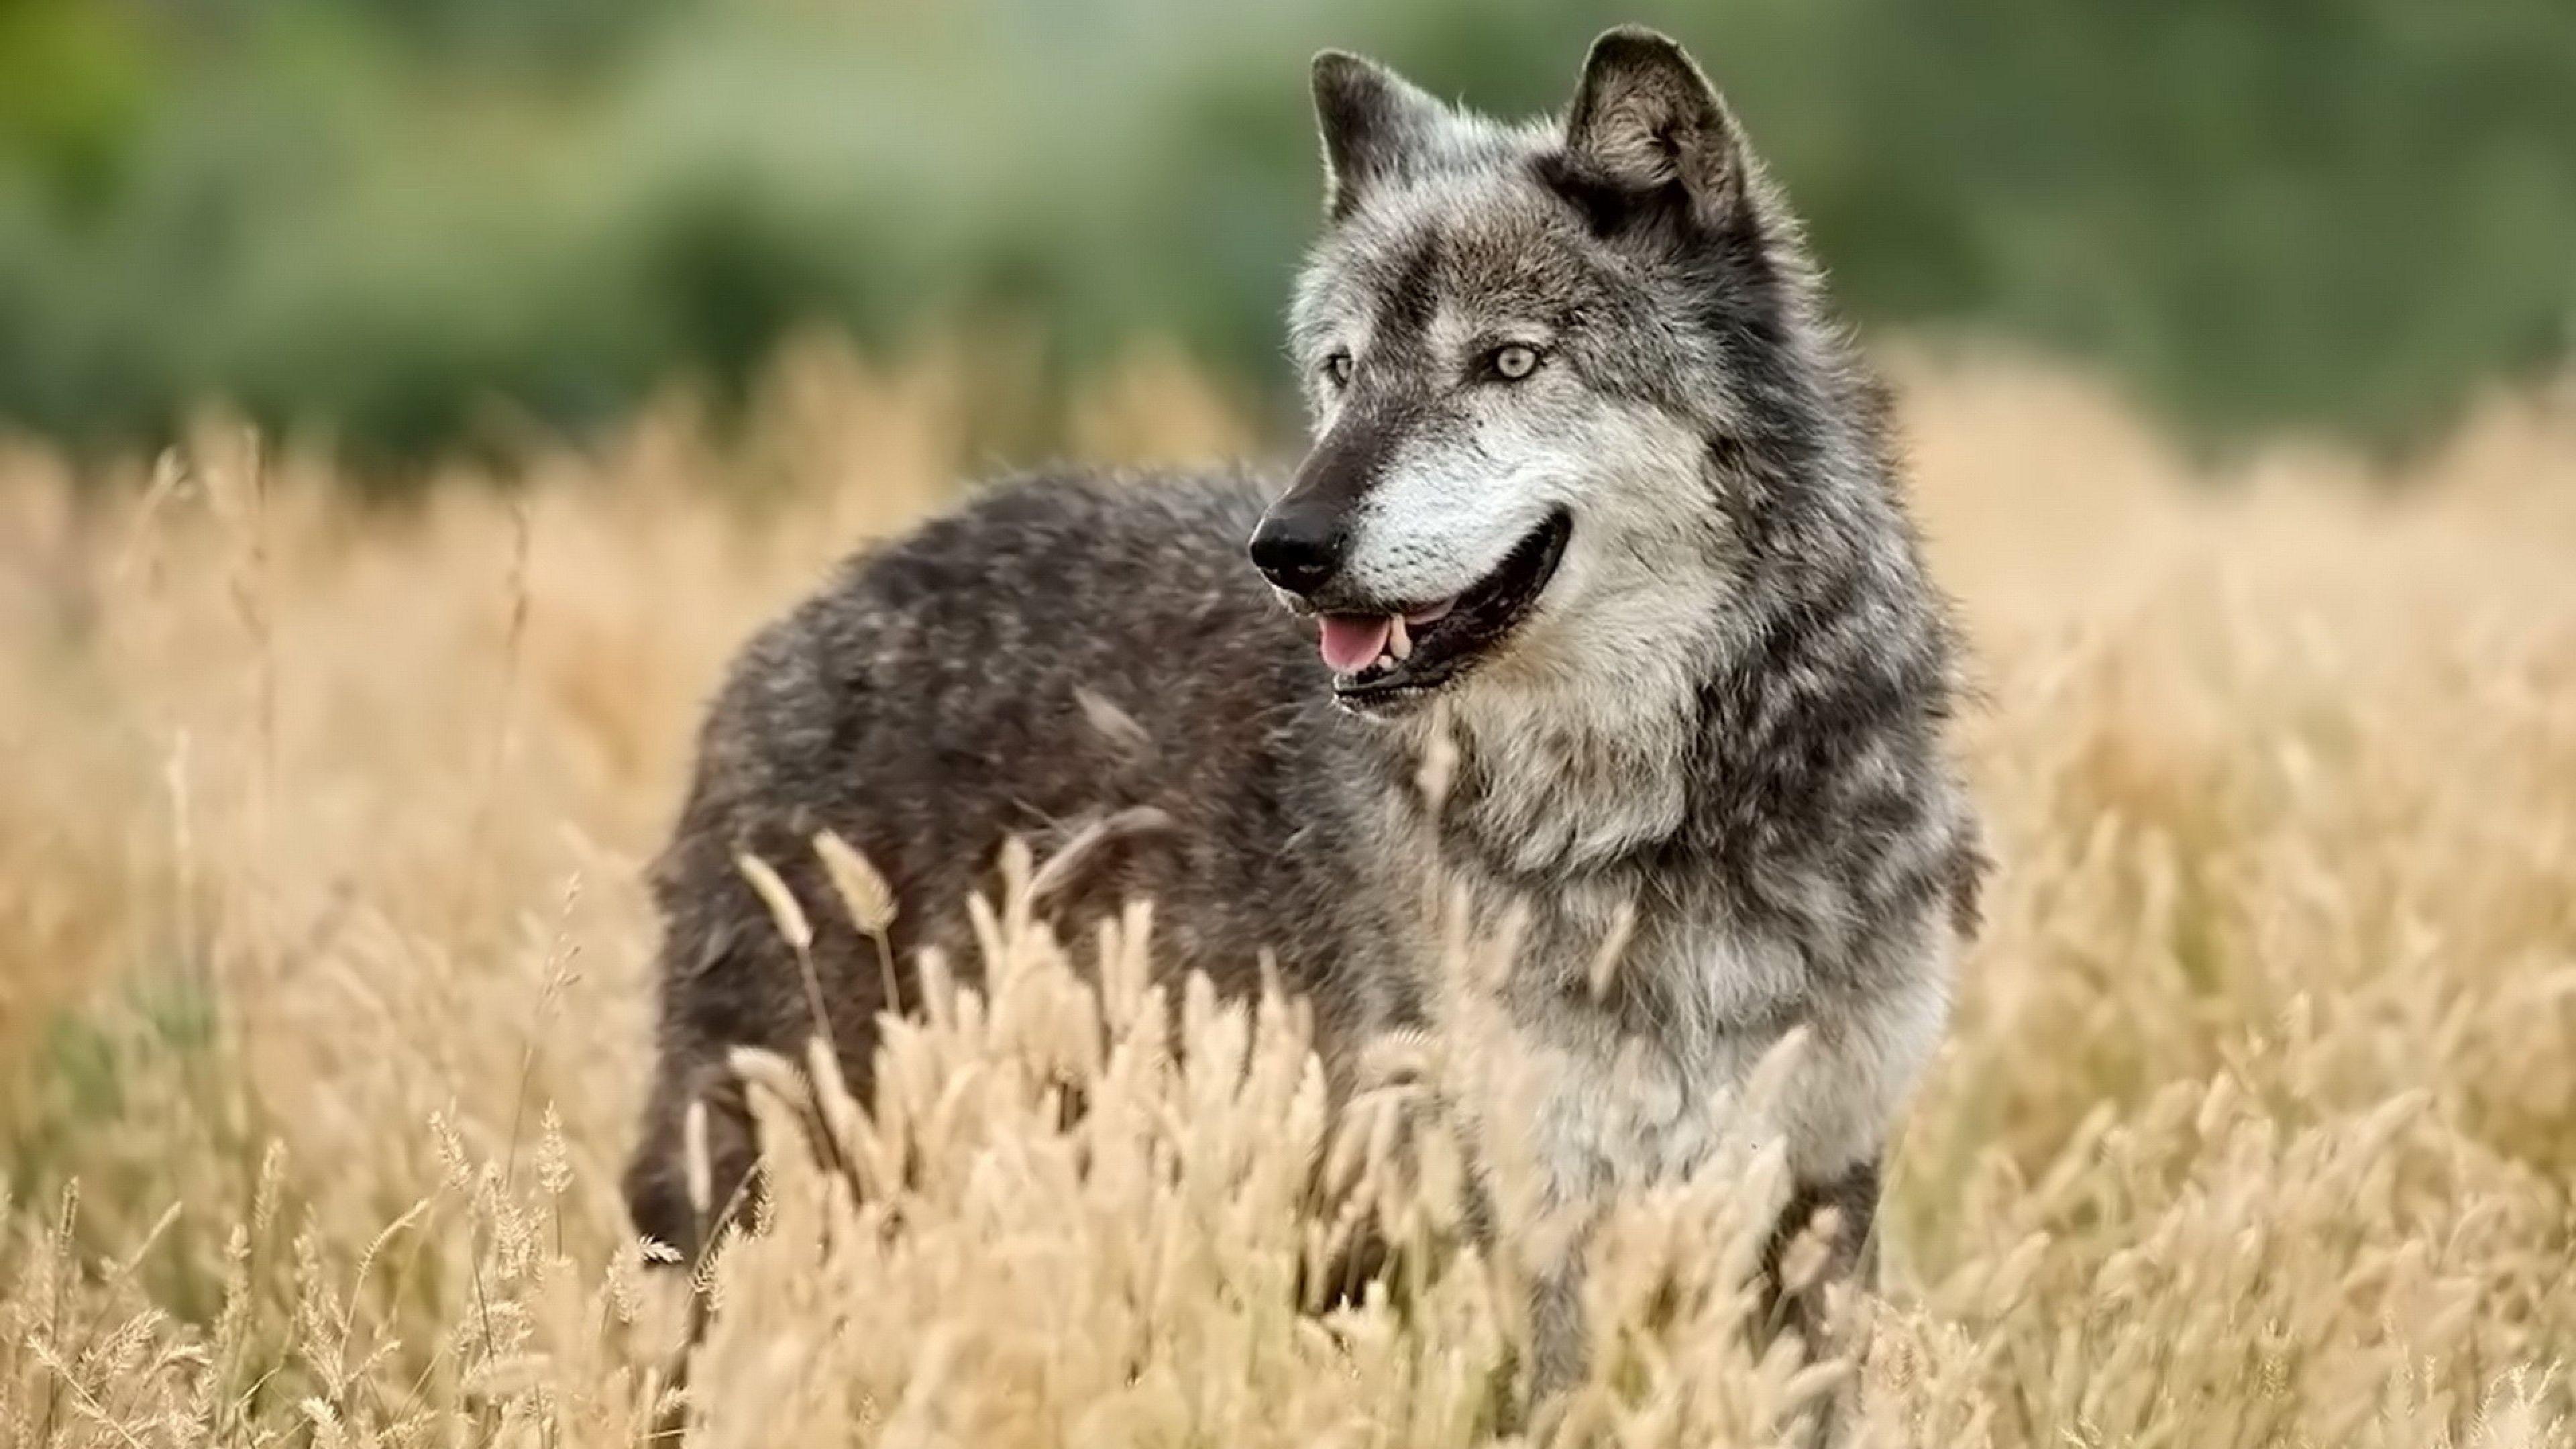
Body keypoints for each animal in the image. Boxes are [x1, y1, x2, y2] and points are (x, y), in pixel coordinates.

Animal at [625, 25, 1982, 1398]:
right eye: (1342, 370)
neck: (1660, 812)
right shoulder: (1530, 1217)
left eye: (1509, 361)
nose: (1288, 548)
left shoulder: (1816, 1192)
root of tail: (803, 619)